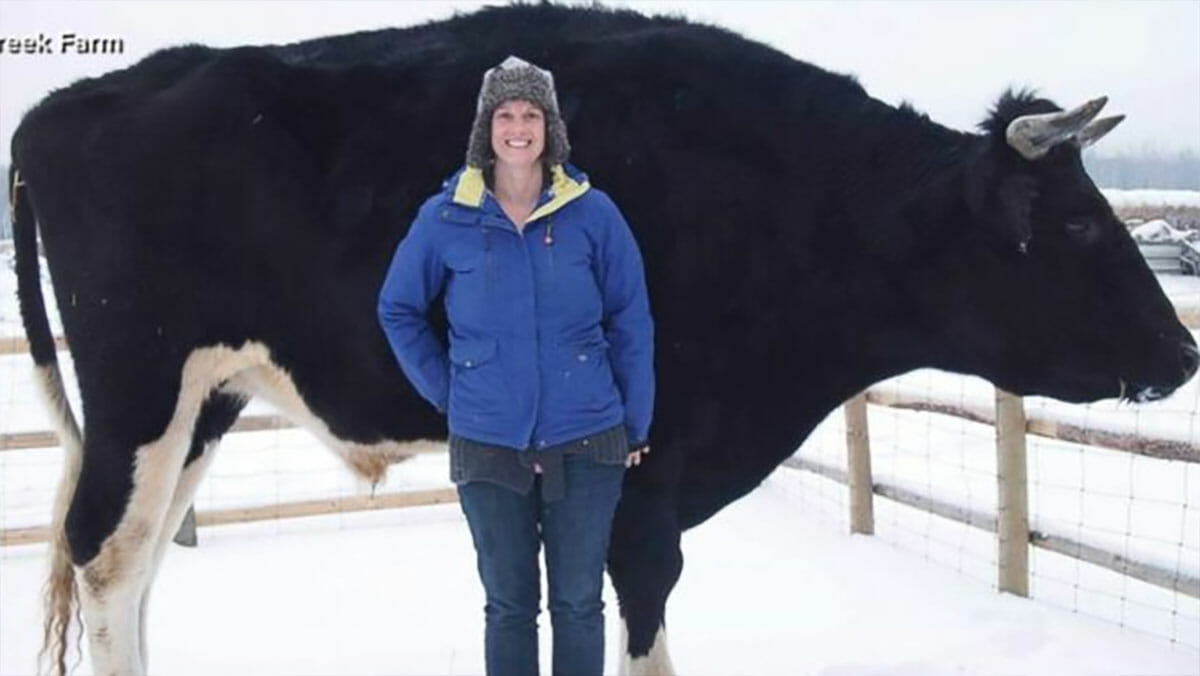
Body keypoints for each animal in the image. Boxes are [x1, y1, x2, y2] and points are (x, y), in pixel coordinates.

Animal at [11, 2, 1200, 672]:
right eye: (1080, 224)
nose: (1182, 353)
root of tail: (75, 101)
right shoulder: (648, 470)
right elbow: (640, 604)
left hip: (204, 402)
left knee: (139, 564)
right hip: (139, 387)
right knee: (107, 557)